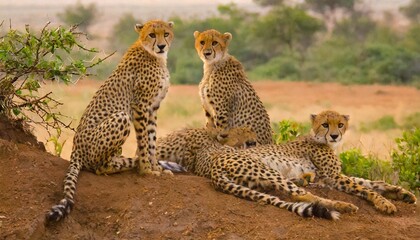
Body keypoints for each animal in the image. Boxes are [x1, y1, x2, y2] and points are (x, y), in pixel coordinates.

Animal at [46, 19, 176, 222]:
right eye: (152, 35)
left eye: (166, 33)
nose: (162, 46)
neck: (154, 55)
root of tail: (75, 149)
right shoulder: (140, 106)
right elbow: (144, 142)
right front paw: (146, 169)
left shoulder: (153, 108)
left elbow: (152, 140)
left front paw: (156, 167)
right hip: (121, 118)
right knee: (97, 167)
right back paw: (123, 165)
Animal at [243, 110, 416, 214]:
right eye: (325, 124)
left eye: (340, 125)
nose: (334, 136)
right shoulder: (332, 176)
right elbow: (364, 187)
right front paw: (385, 203)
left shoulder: (335, 174)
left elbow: (369, 182)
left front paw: (402, 193)